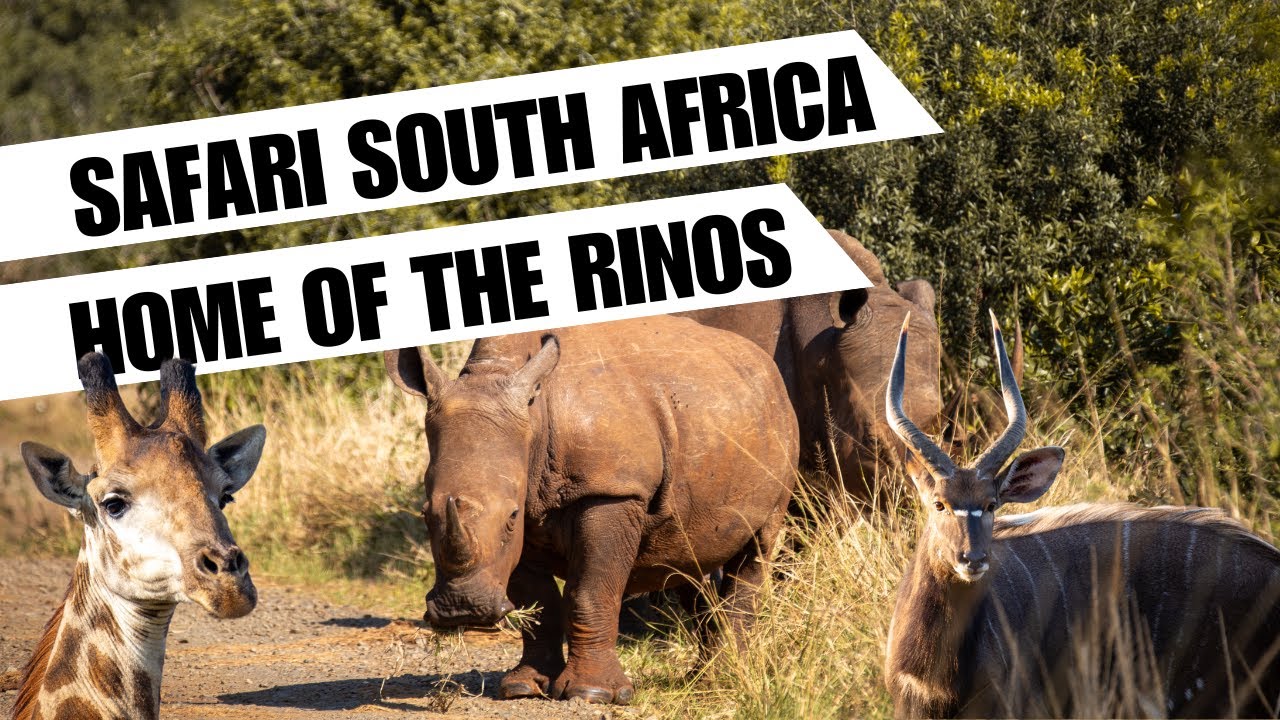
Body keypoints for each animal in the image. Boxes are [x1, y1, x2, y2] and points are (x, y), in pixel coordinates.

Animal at [386, 316, 799, 704]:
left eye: (510, 518)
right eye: (425, 515)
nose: (462, 609)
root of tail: (764, 365)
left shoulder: (611, 490)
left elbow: (591, 591)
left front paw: (592, 694)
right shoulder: (529, 497)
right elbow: (538, 600)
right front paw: (524, 688)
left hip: (782, 427)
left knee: (756, 550)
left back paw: (720, 681)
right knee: (691, 562)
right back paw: (701, 679)